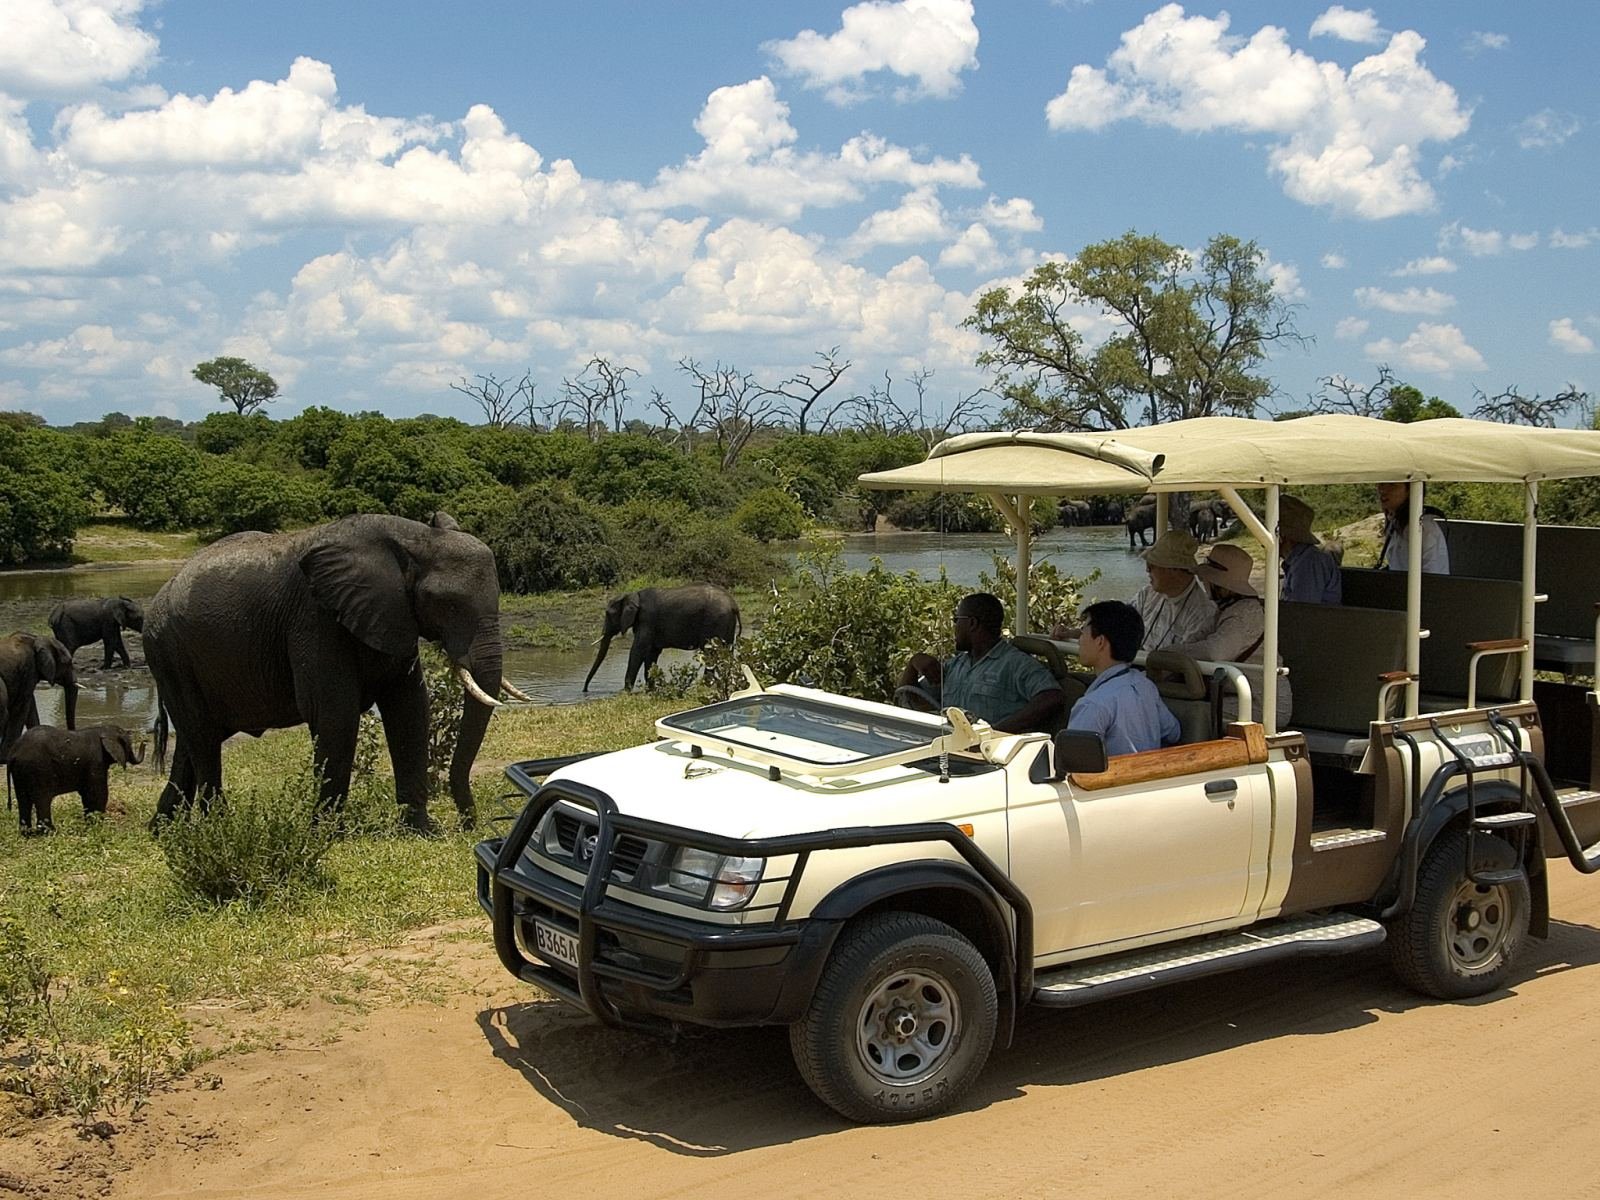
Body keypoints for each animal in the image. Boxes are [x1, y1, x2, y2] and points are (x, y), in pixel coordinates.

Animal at [7, 723, 143, 834]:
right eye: (128, 744)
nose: (144, 743)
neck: (102, 729)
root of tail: (14, 752)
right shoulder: (96, 762)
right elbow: (98, 793)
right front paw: (97, 826)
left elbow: (87, 795)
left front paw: (91, 824)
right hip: (38, 769)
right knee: (42, 800)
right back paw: (51, 833)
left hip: (21, 772)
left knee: (23, 800)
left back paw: (28, 834)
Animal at [144, 513, 524, 833]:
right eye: (449, 605)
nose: (468, 825)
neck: (414, 538)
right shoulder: (316, 618)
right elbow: (335, 714)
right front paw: (327, 834)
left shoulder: (392, 616)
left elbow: (410, 709)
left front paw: (421, 830)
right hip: (168, 654)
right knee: (203, 739)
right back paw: (218, 829)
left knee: (192, 742)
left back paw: (162, 829)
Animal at [583, 583, 741, 693]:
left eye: (608, 614)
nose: (585, 690)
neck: (632, 595)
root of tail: (734, 604)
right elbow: (651, 653)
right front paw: (650, 690)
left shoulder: (647, 620)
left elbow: (638, 650)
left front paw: (625, 692)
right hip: (726, 623)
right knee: (724, 652)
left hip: (715, 621)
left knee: (710, 653)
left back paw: (704, 686)